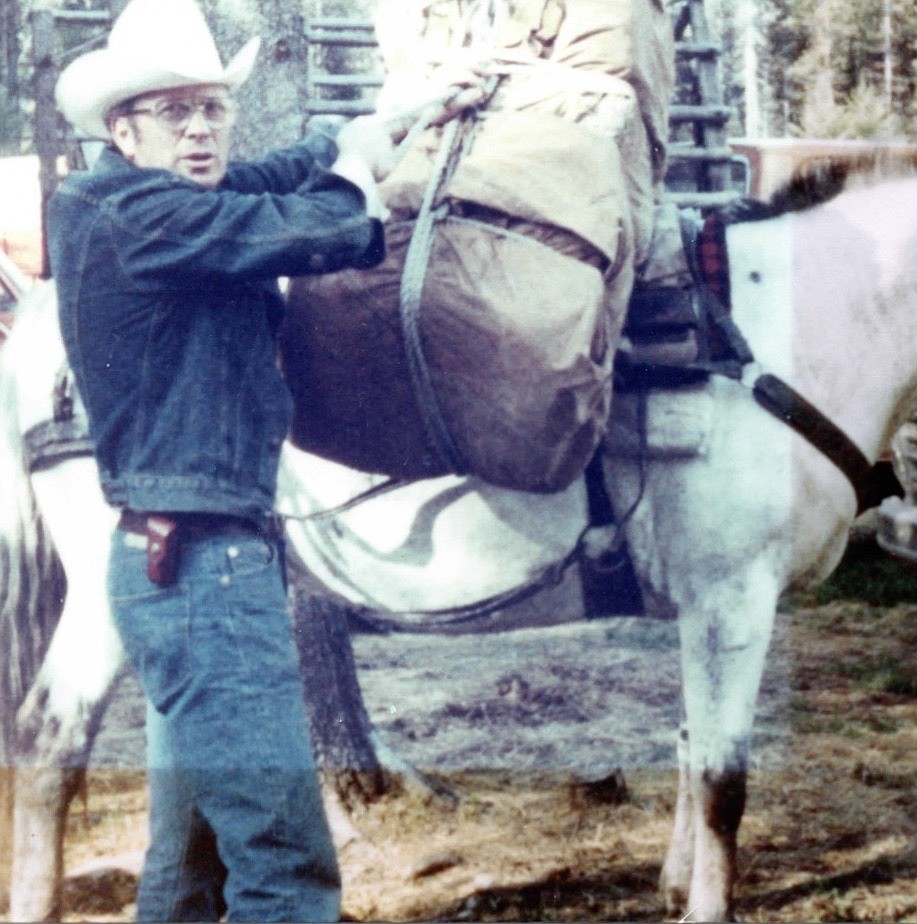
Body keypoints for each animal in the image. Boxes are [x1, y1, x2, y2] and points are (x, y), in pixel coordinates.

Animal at [1, 170, 916, 920]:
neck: (765, 340)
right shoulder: (732, 599)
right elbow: (723, 779)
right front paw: (706, 906)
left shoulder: (704, 605)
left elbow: (691, 745)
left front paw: (673, 883)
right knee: (50, 739)